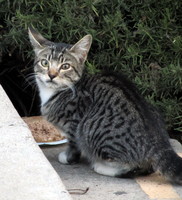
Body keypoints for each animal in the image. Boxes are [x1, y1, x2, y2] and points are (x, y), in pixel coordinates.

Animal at [28, 27, 182, 184]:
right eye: (45, 63)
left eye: (65, 66)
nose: (51, 75)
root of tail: (158, 142)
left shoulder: (74, 124)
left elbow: (73, 144)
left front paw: (68, 157)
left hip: (92, 131)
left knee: (134, 167)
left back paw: (102, 167)